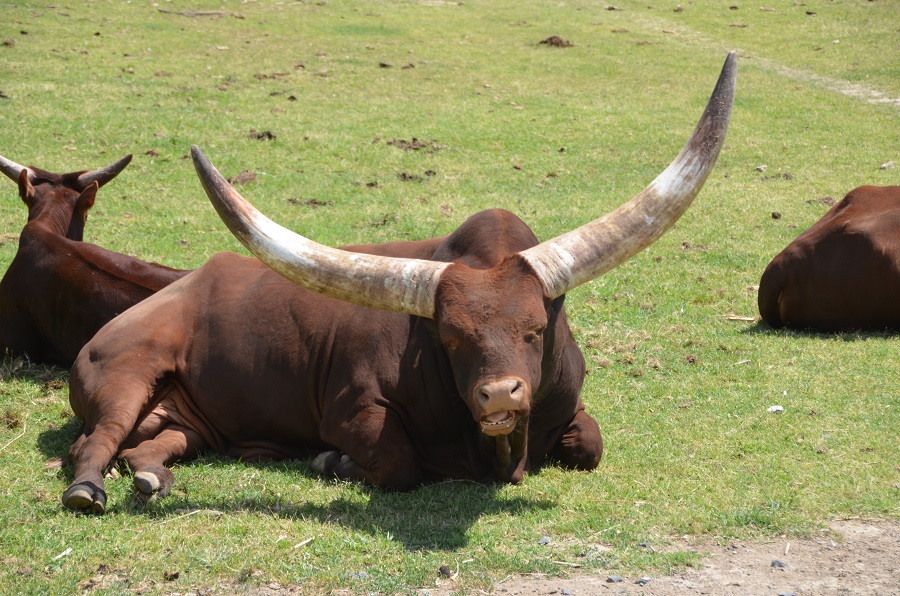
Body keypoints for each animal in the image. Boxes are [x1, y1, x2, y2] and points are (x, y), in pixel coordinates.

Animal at [65, 53, 740, 516]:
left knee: (149, 445)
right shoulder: (356, 408)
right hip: (125, 370)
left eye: (536, 329)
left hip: (192, 420)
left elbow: (590, 445)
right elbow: (398, 464)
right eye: (450, 338)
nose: (499, 395)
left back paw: (153, 477)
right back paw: (85, 490)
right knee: (95, 441)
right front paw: (334, 460)